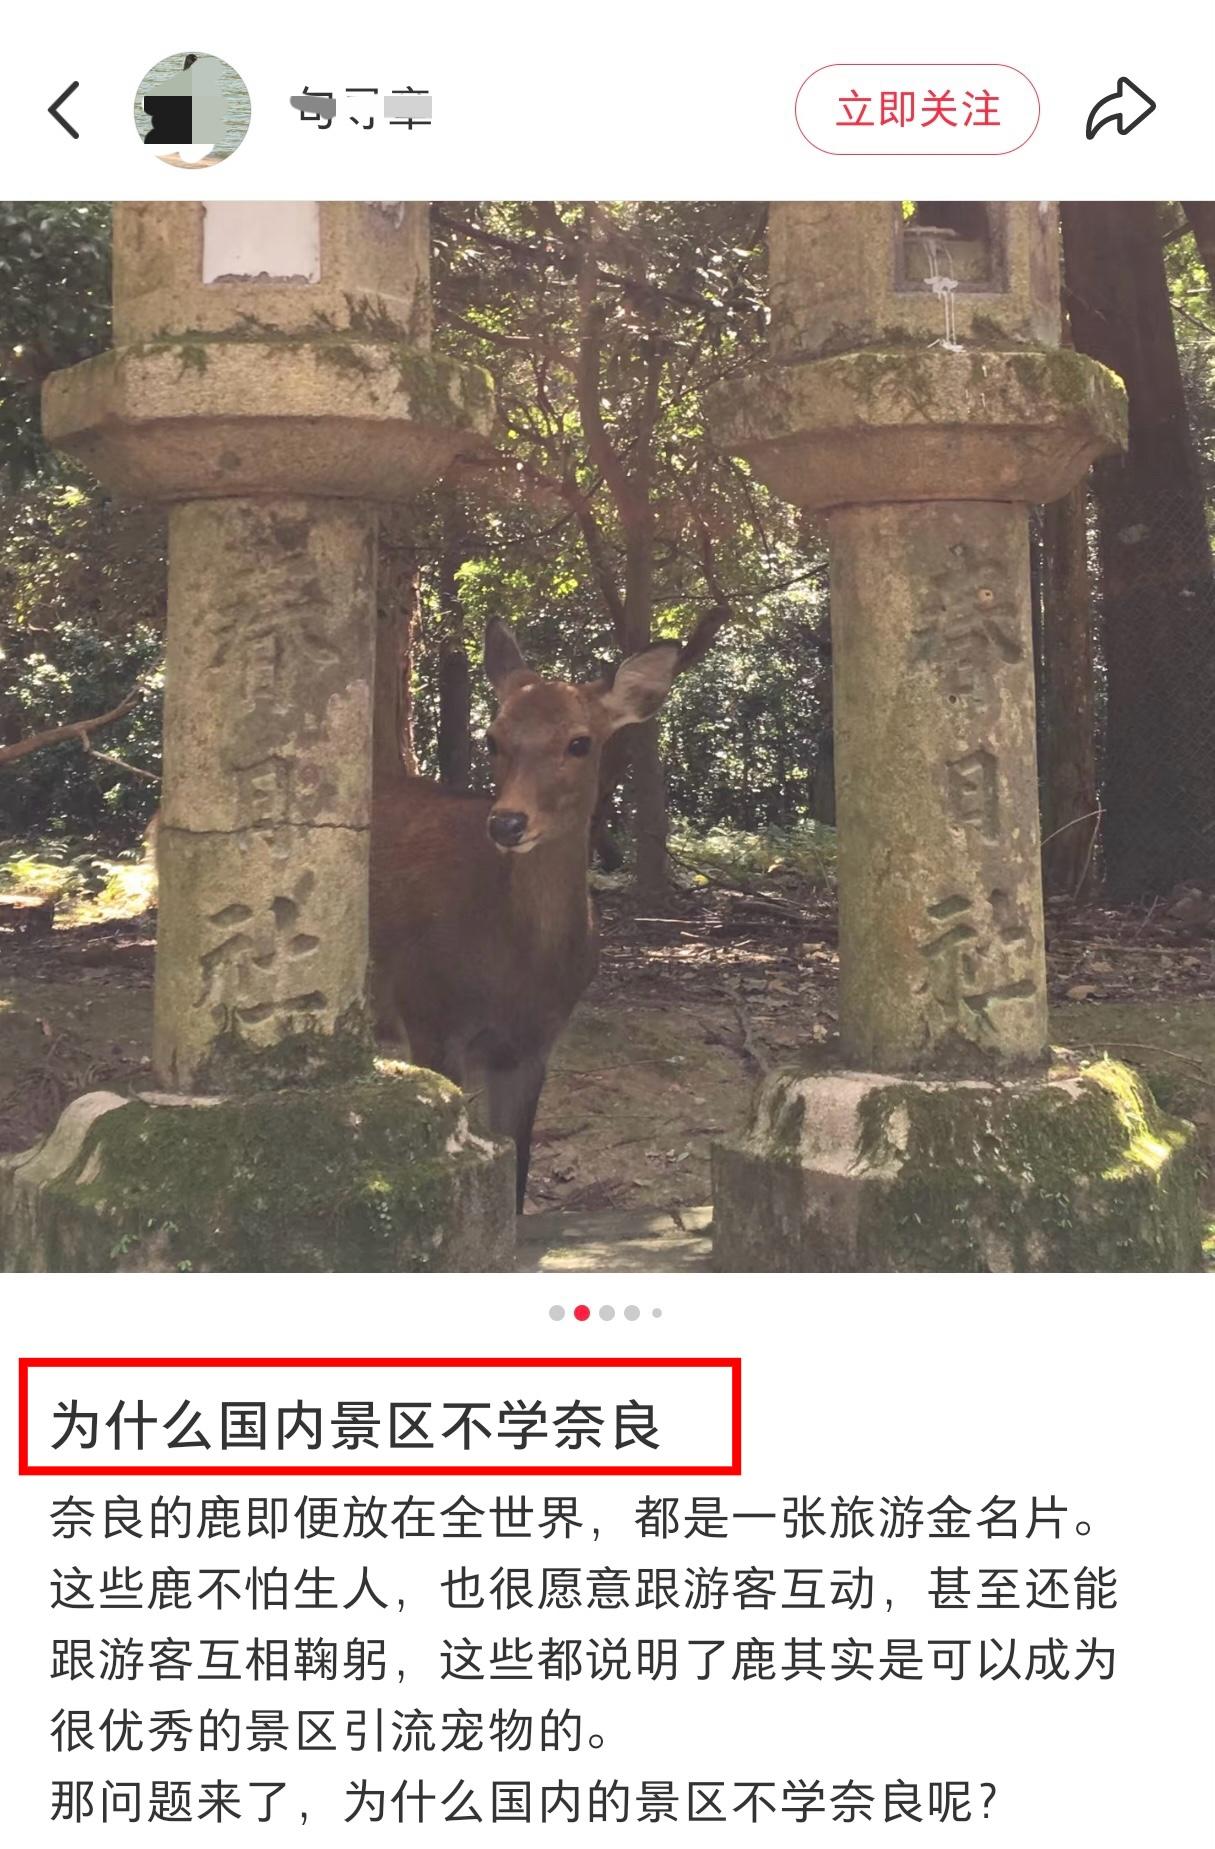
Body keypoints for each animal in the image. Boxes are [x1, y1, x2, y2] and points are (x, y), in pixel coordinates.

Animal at [369, 618, 681, 1212]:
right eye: (492, 738)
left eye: (580, 742)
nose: (507, 823)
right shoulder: (426, 1014)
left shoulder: (535, 1043)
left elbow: (517, 1170)